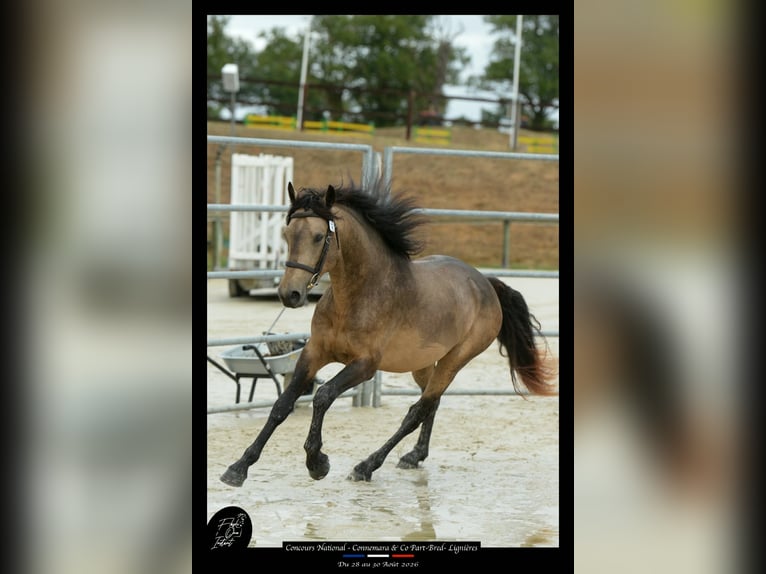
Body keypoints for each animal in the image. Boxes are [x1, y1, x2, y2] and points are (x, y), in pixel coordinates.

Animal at [220, 181, 556, 487]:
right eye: (287, 234)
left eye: (318, 236)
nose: (289, 294)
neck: (356, 296)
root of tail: (485, 283)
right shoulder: (314, 352)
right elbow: (282, 405)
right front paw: (238, 468)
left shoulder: (365, 365)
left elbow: (323, 396)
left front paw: (317, 463)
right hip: (423, 364)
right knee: (431, 404)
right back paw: (414, 456)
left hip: (455, 360)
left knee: (417, 410)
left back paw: (367, 466)